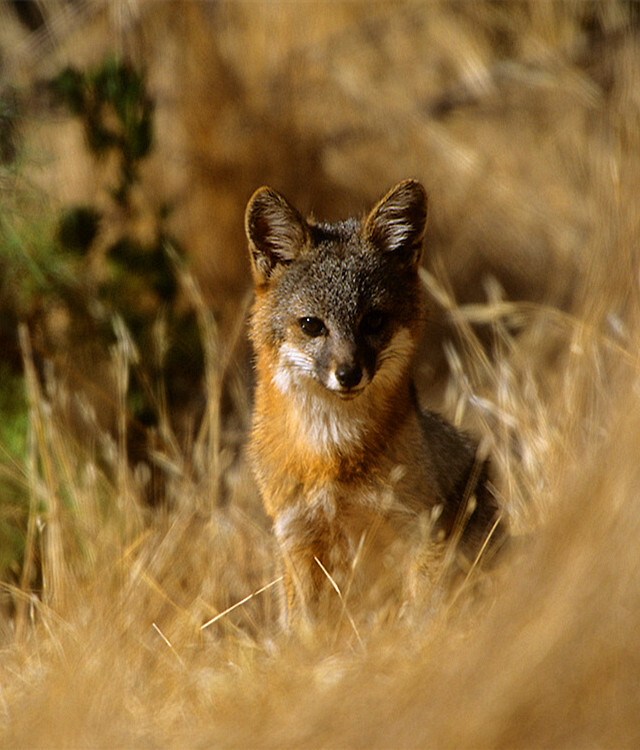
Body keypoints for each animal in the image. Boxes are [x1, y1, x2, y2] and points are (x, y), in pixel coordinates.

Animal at [245, 179, 504, 624]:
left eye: (374, 321)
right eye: (311, 325)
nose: (349, 374)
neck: (331, 454)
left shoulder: (419, 531)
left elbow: (421, 615)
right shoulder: (297, 537)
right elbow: (305, 629)